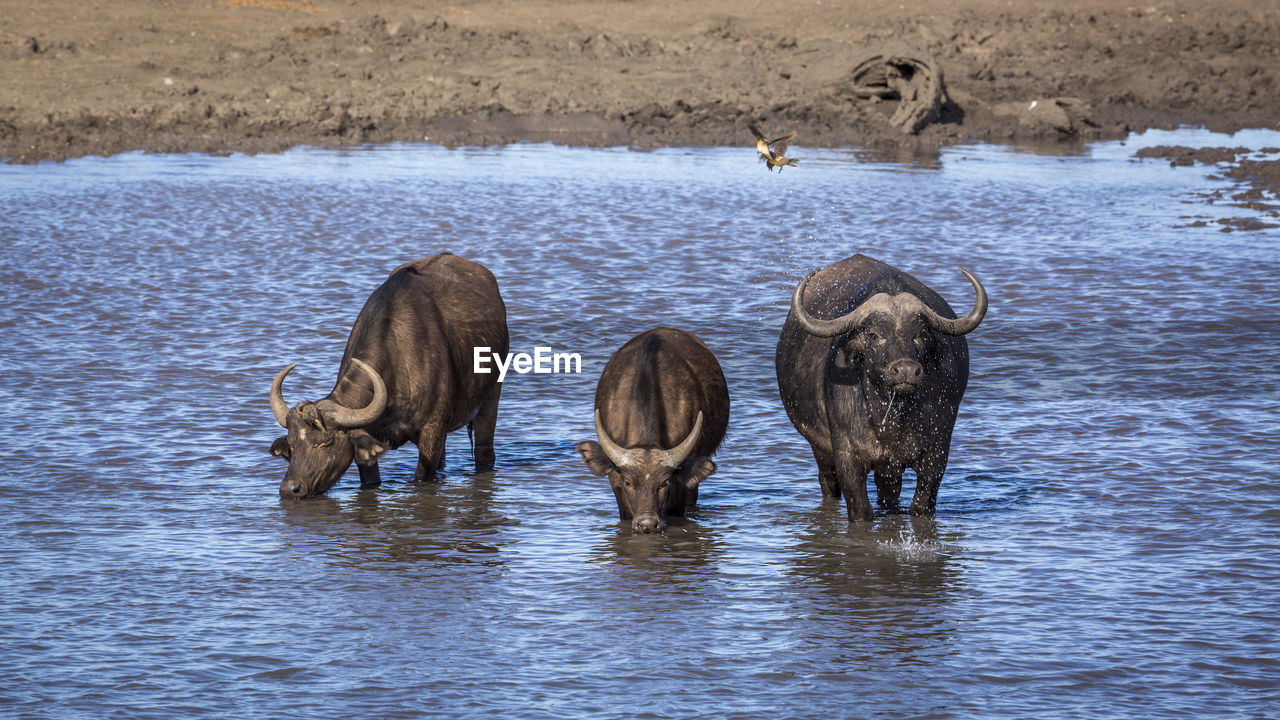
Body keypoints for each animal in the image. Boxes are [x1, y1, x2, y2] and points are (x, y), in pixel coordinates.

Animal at [267, 253, 506, 499]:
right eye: (292, 445)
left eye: (324, 443)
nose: (290, 489)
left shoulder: (432, 431)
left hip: (492, 397)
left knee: (484, 450)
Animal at [768, 254, 988, 517]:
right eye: (873, 335)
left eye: (921, 335)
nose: (906, 370)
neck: (891, 417)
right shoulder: (847, 457)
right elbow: (861, 509)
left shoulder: (936, 453)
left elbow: (921, 505)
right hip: (819, 449)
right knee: (827, 482)